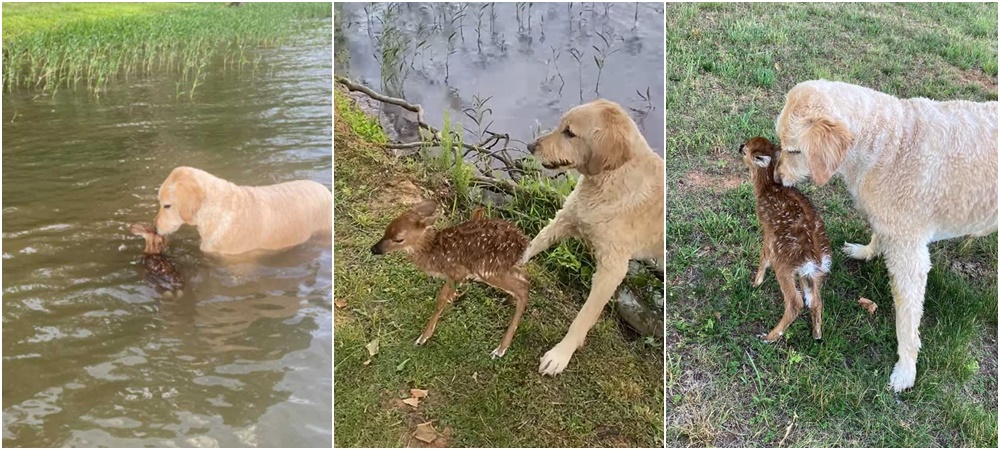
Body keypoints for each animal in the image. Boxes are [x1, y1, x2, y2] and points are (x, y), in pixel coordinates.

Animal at [524, 98, 664, 376]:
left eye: (569, 133)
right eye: (561, 126)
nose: (531, 146)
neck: (612, 177)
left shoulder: (612, 269)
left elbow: (584, 317)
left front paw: (560, 355)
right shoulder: (567, 217)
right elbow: (532, 245)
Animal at [772, 79, 992, 392]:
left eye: (793, 151)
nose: (776, 179)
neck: (888, 144)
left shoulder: (910, 255)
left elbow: (907, 321)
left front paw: (906, 370)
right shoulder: (887, 221)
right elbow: (877, 235)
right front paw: (866, 252)